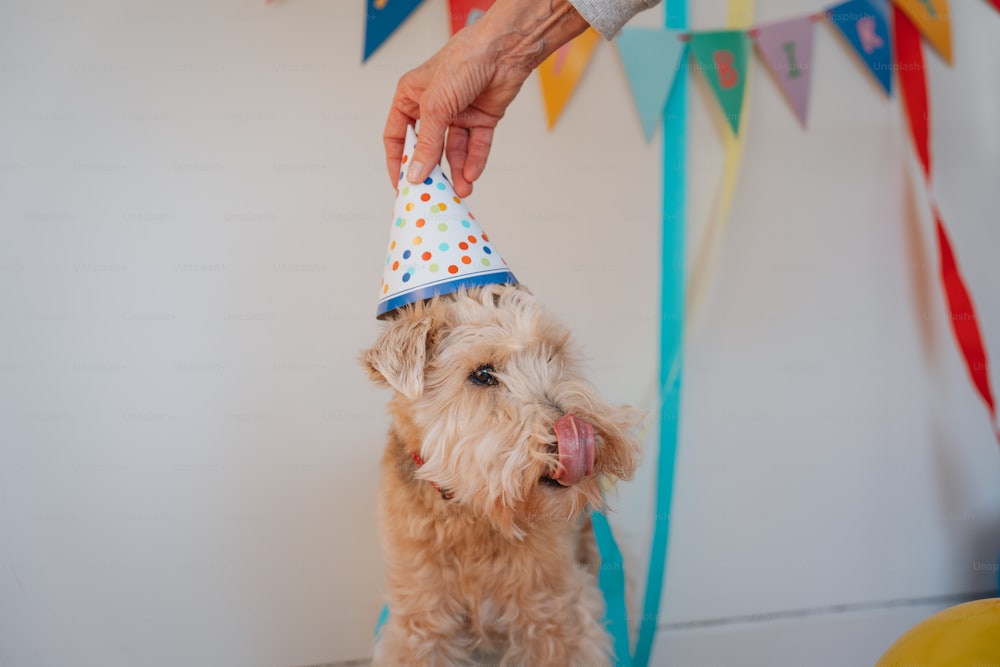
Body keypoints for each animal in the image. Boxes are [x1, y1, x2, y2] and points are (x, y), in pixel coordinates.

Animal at [364, 284, 636, 664]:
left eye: (552, 355)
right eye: (482, 374)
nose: (580, 437)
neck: (473, 515)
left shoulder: (556, 618)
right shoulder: (420, 625)